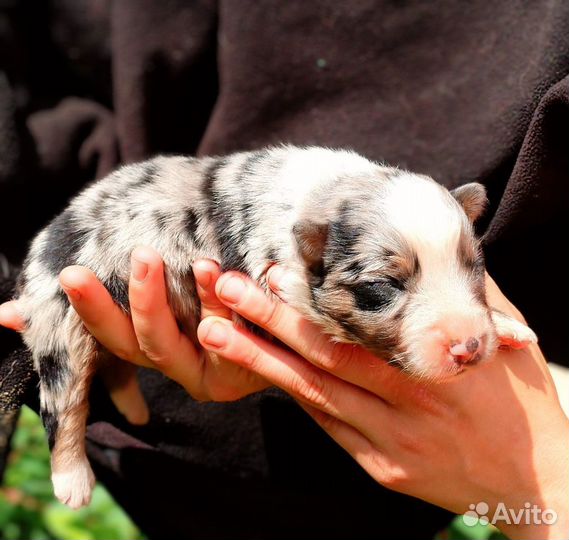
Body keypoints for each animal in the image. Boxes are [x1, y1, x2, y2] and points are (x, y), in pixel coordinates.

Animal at [15, 146, 536, 508]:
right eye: (384, 286)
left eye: (474, 267)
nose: (468, 347)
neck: (329, 192)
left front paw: (511, 328)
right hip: (59, 319)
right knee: (65, 402)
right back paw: (72, 481)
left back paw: (134, 410)